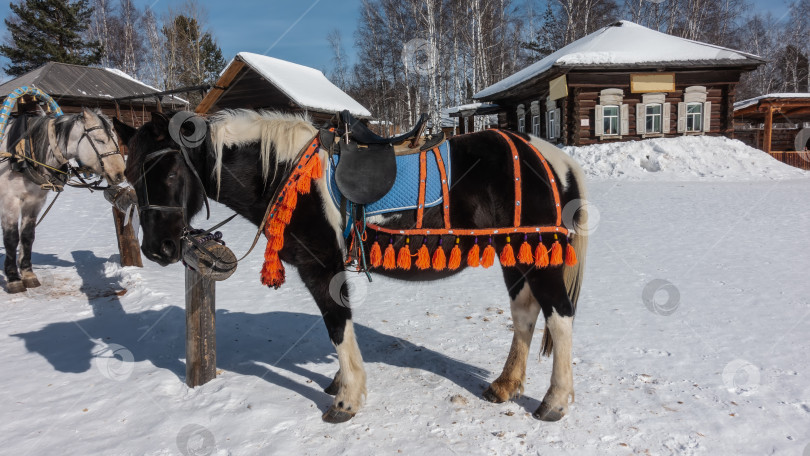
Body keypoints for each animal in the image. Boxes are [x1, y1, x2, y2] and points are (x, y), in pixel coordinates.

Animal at [0, 108, 125, 292]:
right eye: (99, 140)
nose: (120, 173)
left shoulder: (34, 202)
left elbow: (27, 236)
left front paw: (28, 274)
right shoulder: (10, 201)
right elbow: (12, 239)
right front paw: (13, 279)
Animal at [118, 109, 588, 424]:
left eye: (169, 170)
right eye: (131, 173)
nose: (158, 248)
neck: (283, 173)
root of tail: (552, 157)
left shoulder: (321, 266)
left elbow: (337, 325)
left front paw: (346, 398)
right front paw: (340, 383)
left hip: (541, 260)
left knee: (560, 318)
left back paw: (555, 402)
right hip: (518, 257)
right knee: (525, 315)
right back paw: (505, 385)